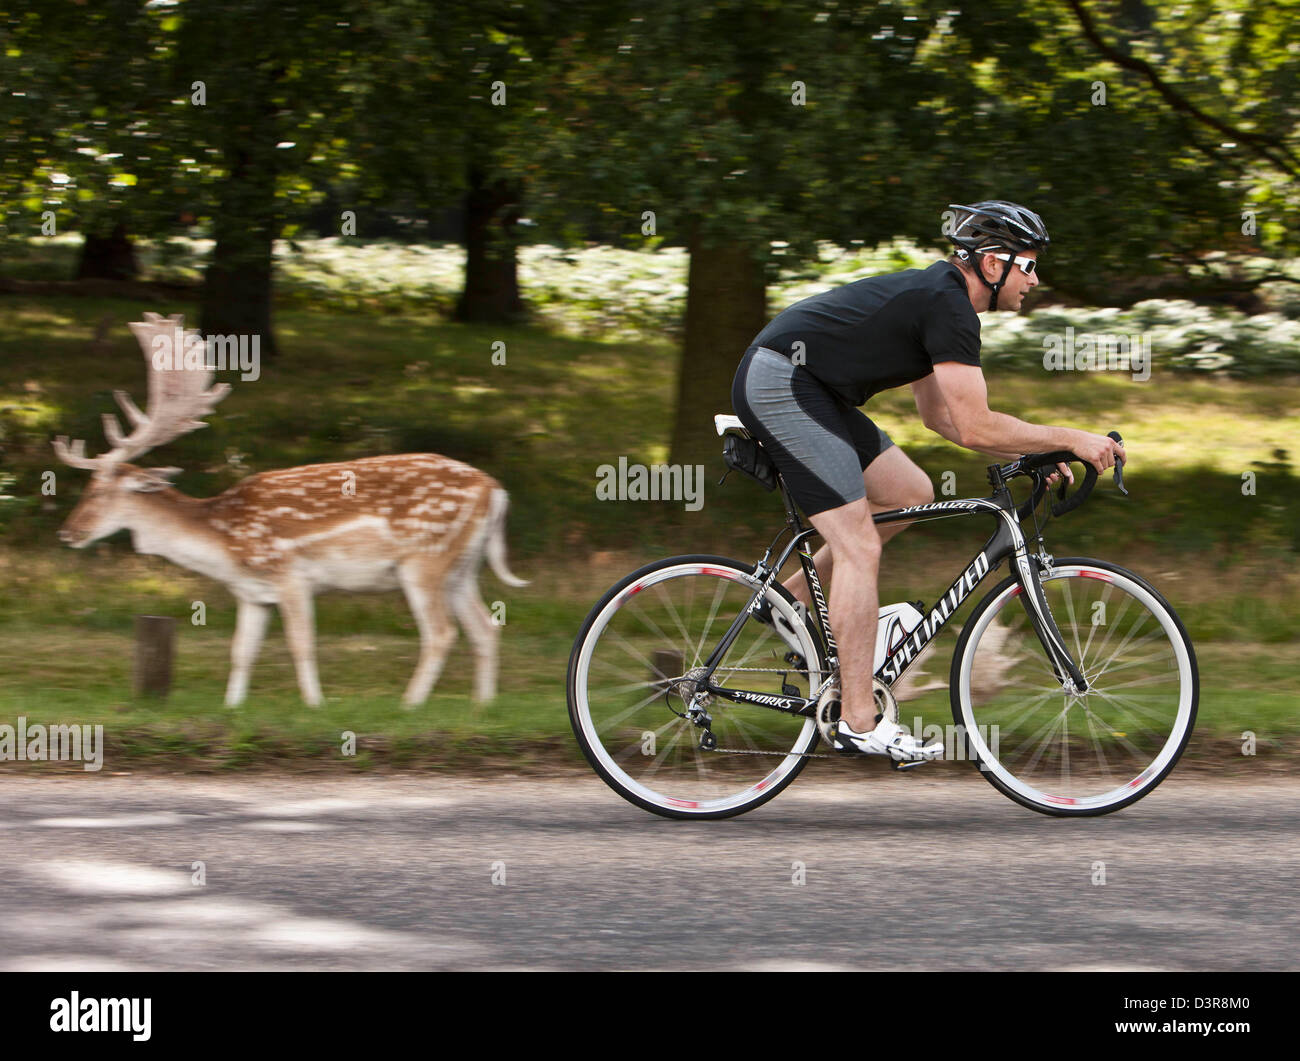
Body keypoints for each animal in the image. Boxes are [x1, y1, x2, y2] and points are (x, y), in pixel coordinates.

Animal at [50, 314, 527, 712]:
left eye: (99, 491)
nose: (67, 533)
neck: (223, 543)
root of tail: (496, 490)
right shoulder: (250, 593)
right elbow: (241, 650)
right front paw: (232, 707)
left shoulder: (292, 575)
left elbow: (301, 643)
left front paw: (316, 705)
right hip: (462, 567)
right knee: (486, 626)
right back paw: (482, 706)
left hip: (424, 558)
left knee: (441, 632)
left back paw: (408, 705)